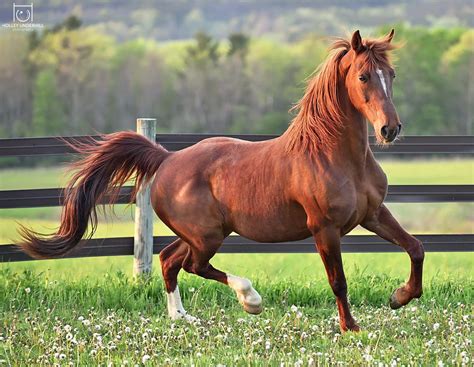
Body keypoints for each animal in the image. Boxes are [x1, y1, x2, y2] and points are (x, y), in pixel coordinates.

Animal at [19, 30, 426, 332]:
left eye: (391, 75)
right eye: (363, 76)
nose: (390, 129)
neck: (333, 156)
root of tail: (166, 158)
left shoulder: (373, 214)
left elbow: (415, 247)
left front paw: (399, 297)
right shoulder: (324, 228)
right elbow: (338, 280)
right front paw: (350, 327)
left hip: (200, 234)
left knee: (169, 260)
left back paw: (181, 317)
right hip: (207, 235)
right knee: (192, 266)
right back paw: (251, 299)